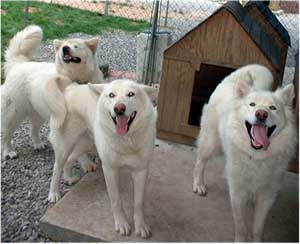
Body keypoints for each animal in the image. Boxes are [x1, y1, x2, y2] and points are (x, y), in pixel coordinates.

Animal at [47, 78, 157, 238]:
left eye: (131, 94)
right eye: (111, 95)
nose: (119, 108)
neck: (126, 140)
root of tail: (69, 88)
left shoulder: (141, 171)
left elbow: (138, 202)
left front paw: (140, 226)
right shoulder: (110, 170)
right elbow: (116, 200)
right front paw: (121, 224)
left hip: (87, 143)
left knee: (70, 159)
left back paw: (68, 178)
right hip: (65, 146)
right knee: (57, 168)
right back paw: (54, 194)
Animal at [193, 65, 296, 242]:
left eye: (273, 108)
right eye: (252, 105)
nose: (261, 114)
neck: (257, 157)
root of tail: (230, 81)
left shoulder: (267, 195)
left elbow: (257, 228)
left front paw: (256, 240)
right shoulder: (238, 191)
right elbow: (241, 226)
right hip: (211, 144)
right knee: (200, 162)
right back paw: (198, 185)